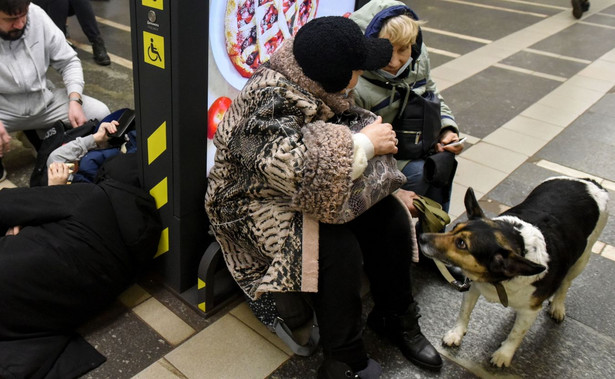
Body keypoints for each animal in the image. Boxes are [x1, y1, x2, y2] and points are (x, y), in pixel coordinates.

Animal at [422, 178, 608, 368]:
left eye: (461, 244)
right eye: (454, 227)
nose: (421, 237)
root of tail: (588, 181)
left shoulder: (530, 311)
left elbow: (516, 334)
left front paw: (504, 354)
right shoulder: (473, 288)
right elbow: (464, 312)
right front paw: (456, 333)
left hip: (582, 258)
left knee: (565, 283)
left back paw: (557, 305)